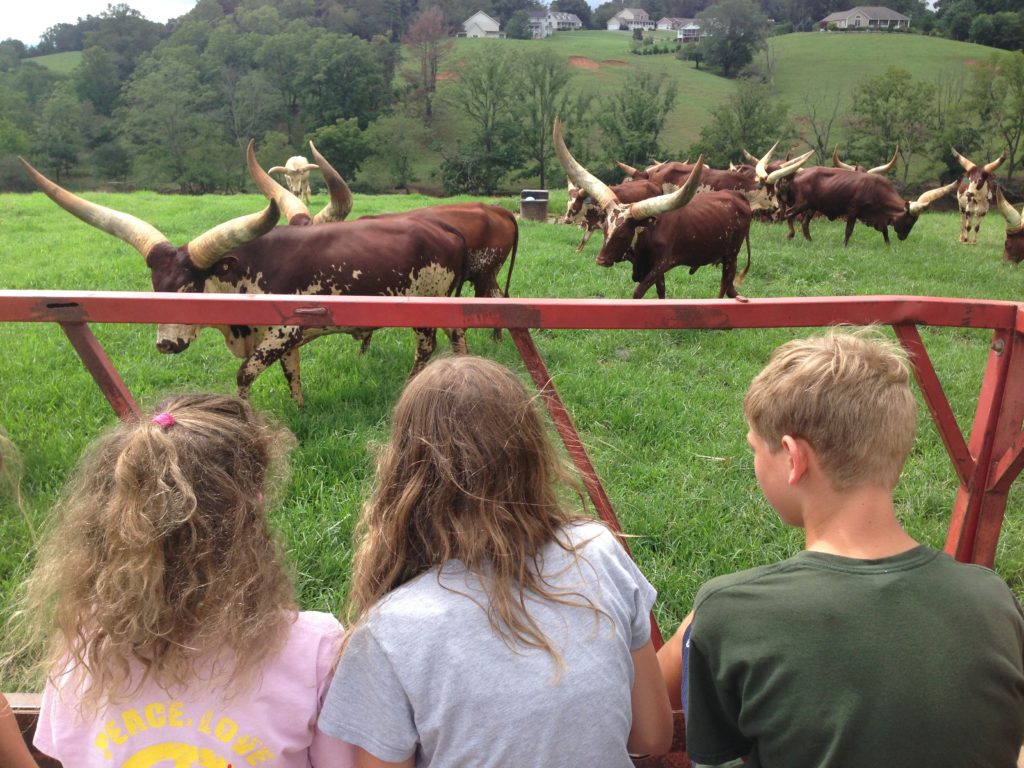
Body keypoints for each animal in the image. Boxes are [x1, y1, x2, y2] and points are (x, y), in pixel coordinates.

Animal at [19, 157, 468, 409]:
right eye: (154, 287)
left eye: (189, 288)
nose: (166, 344)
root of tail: (445, 229)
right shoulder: (283, 340)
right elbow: (292, 374)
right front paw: (300, 409)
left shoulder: (283, 331)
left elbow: (244, 376)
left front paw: (250, 415)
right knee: (456, 337)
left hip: (425, 308)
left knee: (425, 347)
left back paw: (410, 386)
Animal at [557, 118, 757, 303]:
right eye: (606, 229)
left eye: (622, 234)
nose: (601, 260)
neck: (647, 231)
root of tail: (738, 196)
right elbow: (661, 290)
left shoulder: (662, 264)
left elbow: (638, 292)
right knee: (730, 287)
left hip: (731, 255)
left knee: (725, 284)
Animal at [774, 167, 958, 246]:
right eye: (909, 221)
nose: (903, 237)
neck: (878, 190)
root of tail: (796, 175)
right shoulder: (853, 211)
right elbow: (849, 230)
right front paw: (844, 245)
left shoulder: (879, 216)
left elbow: (884, 230)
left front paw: (888, 245)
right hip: (801, 204)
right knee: (789, 214)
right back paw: (790, 235)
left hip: (811, 207)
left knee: (804, 223)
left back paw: (810, 240)